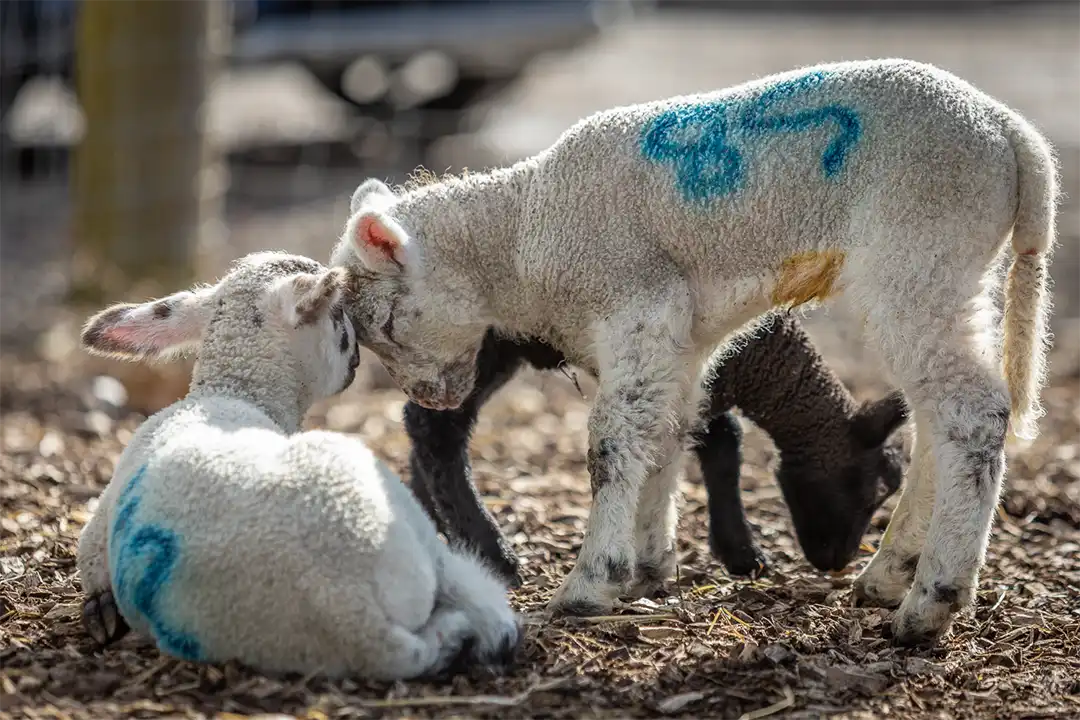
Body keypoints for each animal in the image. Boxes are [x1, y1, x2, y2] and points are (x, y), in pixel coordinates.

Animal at [403, 312, 909, 587]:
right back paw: (494, 553)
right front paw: (741, 550)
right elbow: (724, 445)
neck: (759, 358)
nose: (837, 563)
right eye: (875, 488)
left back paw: (439, 527)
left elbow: (720, 440)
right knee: (436, 429)